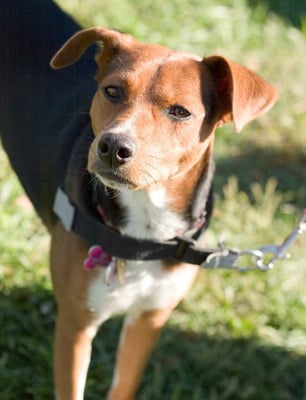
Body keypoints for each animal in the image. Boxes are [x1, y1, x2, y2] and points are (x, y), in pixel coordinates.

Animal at [0, 1, 278, 398]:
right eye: (112, 91)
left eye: (180, 111)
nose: (113, 147)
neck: (146, 228)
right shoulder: (75, 325)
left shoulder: (149, 321)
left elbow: (124, 385)